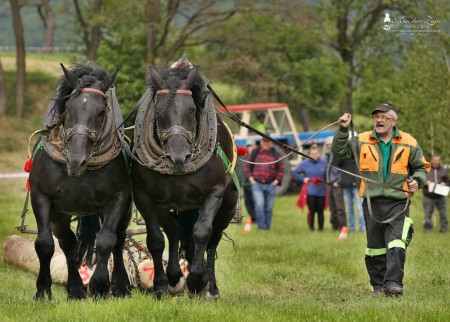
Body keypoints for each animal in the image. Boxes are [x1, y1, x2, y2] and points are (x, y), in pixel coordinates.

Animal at [28, 64, 132, 300]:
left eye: (101, 111)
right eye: (68, 107)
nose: (76, 161)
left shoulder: (118, 198)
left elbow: (106, 241)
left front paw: (100, 286)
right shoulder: (41, 197)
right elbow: (44, 244)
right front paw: (42, 290)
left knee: (119, 238)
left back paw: (120, 286)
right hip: (60, 214)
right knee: (67, 244)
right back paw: (75, 289)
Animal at [131, 61, 239, 298]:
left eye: (191, 110)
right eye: (159, 113)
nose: (178, 157)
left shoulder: (214, 193)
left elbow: (201, 233)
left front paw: (198, 280)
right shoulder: (145, 197)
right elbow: (155, 239)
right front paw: (161, 285)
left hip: (226, 208)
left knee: (213, 241)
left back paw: (211, 287)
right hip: (166, 205)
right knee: (174, 230)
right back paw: (173, 276)